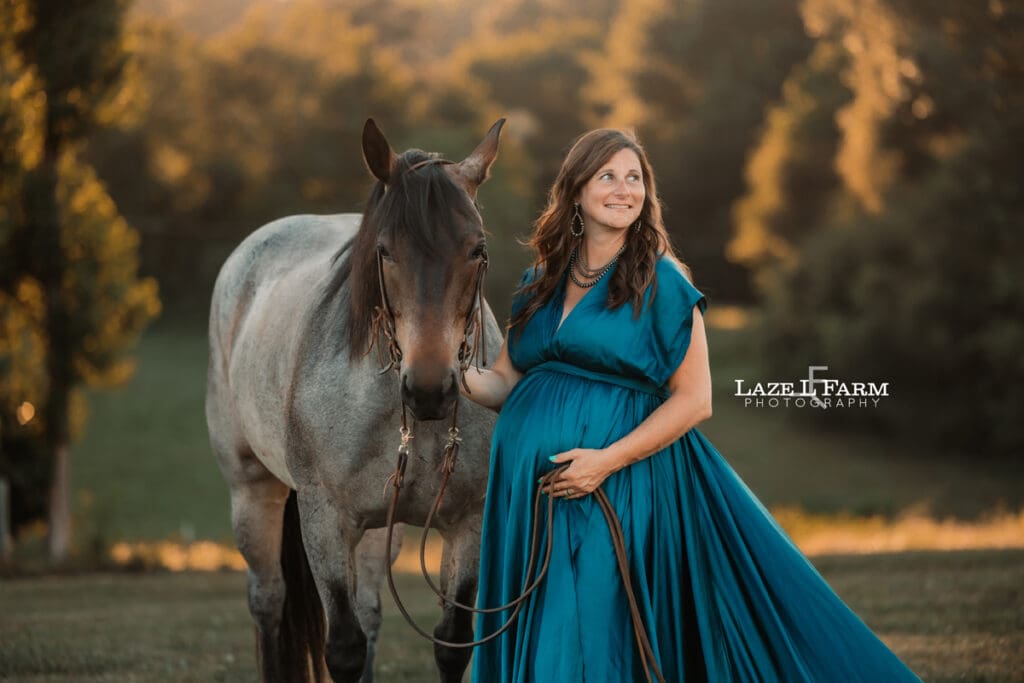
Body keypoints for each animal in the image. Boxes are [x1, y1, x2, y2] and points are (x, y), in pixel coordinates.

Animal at [205, 118, 505, 682]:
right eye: (385, 251)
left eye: (477, 249)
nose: (430, 389)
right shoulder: (326, 520)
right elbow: (342, 646)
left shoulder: (469, 522)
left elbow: (451, 642)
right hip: (252, 492)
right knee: (268, 602)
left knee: (369, 612)